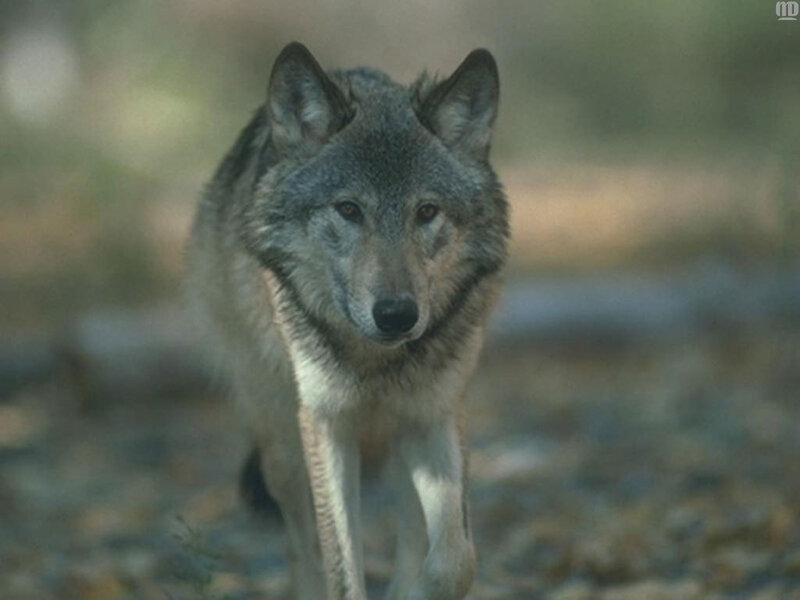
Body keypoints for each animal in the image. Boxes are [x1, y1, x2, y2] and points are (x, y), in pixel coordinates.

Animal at [185, 41, 508, 600]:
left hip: (399, 435)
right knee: (302, 546)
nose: (397, 314)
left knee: (409, 527)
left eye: (426, 212)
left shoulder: (435, 413)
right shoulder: (326, 423)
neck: (375, 362)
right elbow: (340, 564)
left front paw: (414, 592)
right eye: (349, 210)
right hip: (280, 441)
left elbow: (455, 560)